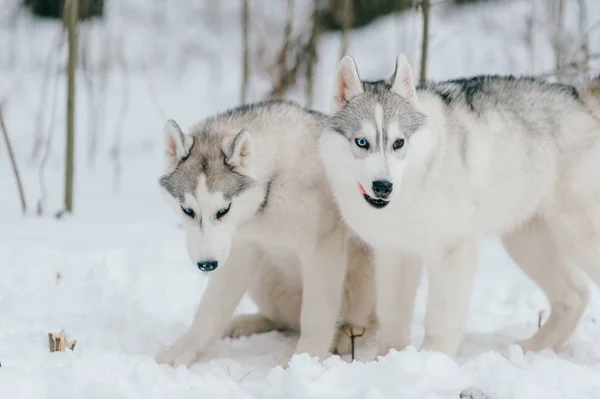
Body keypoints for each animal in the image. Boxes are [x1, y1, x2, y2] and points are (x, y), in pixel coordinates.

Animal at [157, 101, 378, 368]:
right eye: (187, 210)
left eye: (223, 210)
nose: (207, 265)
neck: (274, 182)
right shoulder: (240, 249)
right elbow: (208, 310)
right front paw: (183, 348)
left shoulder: (322, 248)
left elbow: (315, 316)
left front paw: (305, 359)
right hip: (262, 278)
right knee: (281, 321)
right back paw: (243, 323)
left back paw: (347, 334)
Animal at [316, 54, 600, 360]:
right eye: (362, 142)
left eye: (398, 143)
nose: (383, 186)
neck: (416, 184)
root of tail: (580, 95)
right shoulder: (396, 254)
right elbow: (392, 316)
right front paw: (390, 359)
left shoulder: (453, 251)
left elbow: (441, 319)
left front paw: (432, 359)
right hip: (527, 241)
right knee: (576, 294)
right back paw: (534, 348)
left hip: (578, 235)